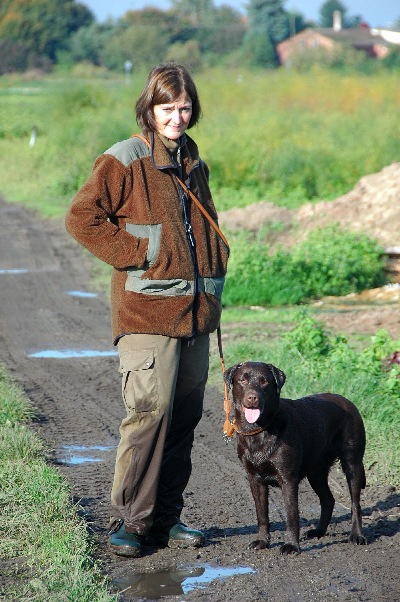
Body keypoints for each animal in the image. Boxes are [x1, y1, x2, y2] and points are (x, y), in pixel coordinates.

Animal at [223, 360, 368, 552]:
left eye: (264, 381)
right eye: (243, 380)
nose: (253, 398)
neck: (260, 431)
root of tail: (349, 403)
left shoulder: (288, 479)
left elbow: (291, 515)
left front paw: (291, 545)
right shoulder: (254, 479)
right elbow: (262, 514)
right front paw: (262, 541)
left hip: (352, 463)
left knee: (355, 503)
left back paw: (357, 535)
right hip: (316, 472)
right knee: (328, 500)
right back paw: (318, 532)